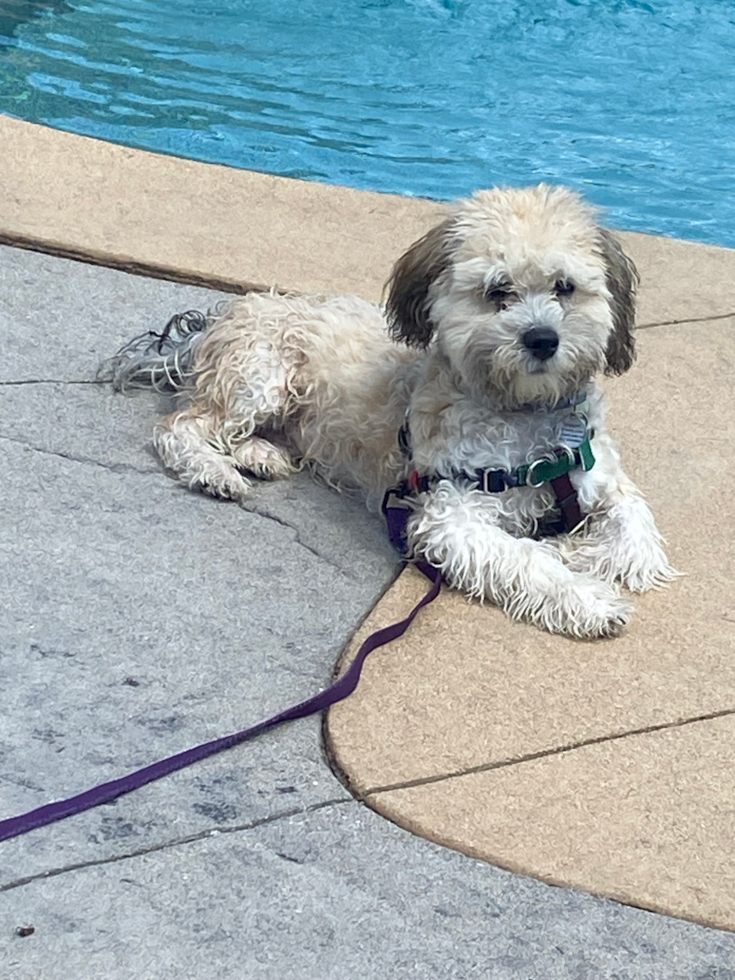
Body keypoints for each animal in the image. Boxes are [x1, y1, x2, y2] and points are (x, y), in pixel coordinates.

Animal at [105, 185, 680, 640]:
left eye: (565, 287)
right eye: (498, 291)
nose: (542, 339)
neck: (527, 418)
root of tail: (223, 314)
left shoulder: (608, 484)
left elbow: (637, 540)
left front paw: (573, 548)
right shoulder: (449, 513)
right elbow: (524, 558)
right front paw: (587, 596)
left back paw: (259, 455)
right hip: (261, 376)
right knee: (181, 426)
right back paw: (216, 472)